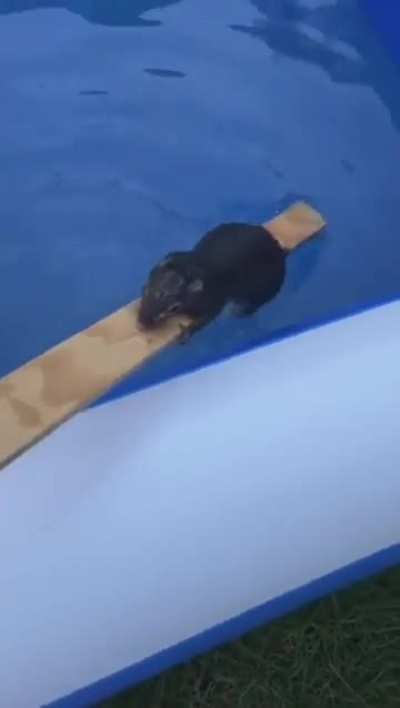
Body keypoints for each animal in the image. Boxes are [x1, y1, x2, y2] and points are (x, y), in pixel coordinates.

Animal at [138, 222, 287, 338]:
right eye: (146, 290)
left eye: (174, 309)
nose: (143, 321)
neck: (190, 268)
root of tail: (279, 249)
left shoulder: (214, 299)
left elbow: (208, 317)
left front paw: (186, 332)